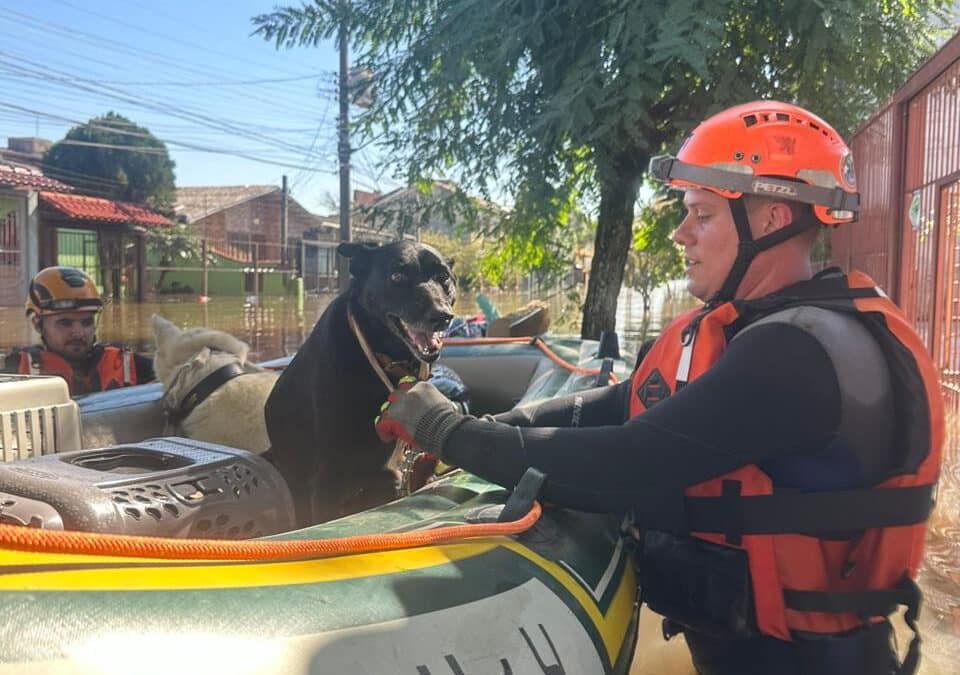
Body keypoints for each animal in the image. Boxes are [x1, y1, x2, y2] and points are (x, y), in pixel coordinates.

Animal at [264, 242, 456, 528]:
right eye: (396, 276)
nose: (442, 316)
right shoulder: (326, 479)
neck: (388, 358)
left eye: (444, 277)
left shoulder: (390, 476)